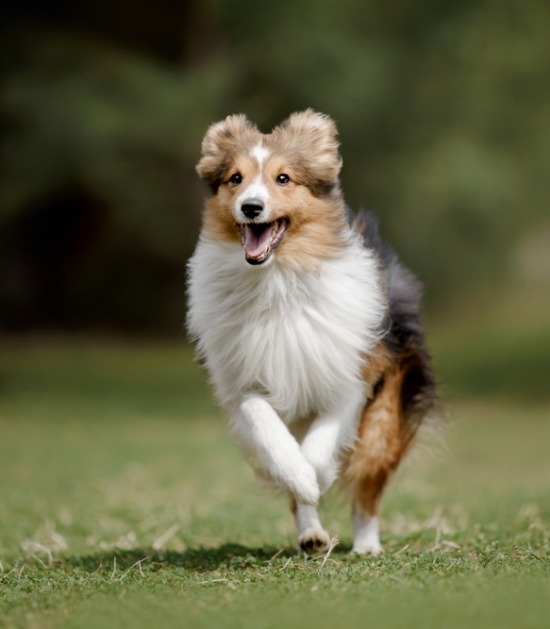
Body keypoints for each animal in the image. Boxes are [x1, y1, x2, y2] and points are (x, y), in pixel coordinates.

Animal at [188, 110, 438, 552]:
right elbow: (271, 434)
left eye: (283, 178)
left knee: (367, 484)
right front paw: (301, 479)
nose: (250, 207)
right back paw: (311, 534)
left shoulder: (350, 378)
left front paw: (317, 476)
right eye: (235, 178)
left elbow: (322, 448)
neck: (278, 281)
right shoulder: (243, 382)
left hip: (385, 415)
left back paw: (367, 544)